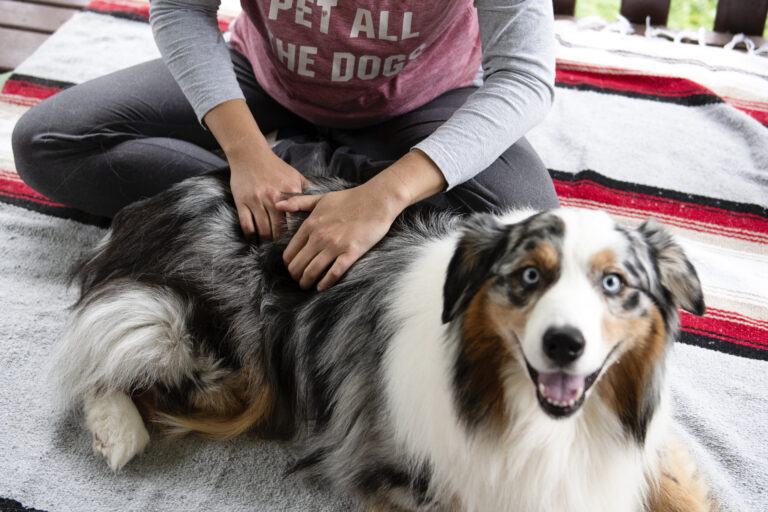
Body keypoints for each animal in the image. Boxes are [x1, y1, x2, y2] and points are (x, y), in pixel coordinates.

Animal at [52, 169, 712, 512]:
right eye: (528, 277)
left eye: (614, 284)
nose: (564, 345)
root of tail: (149, 203)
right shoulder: (393, 470)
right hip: (215, 353)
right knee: (101, 352)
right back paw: (116, 433)